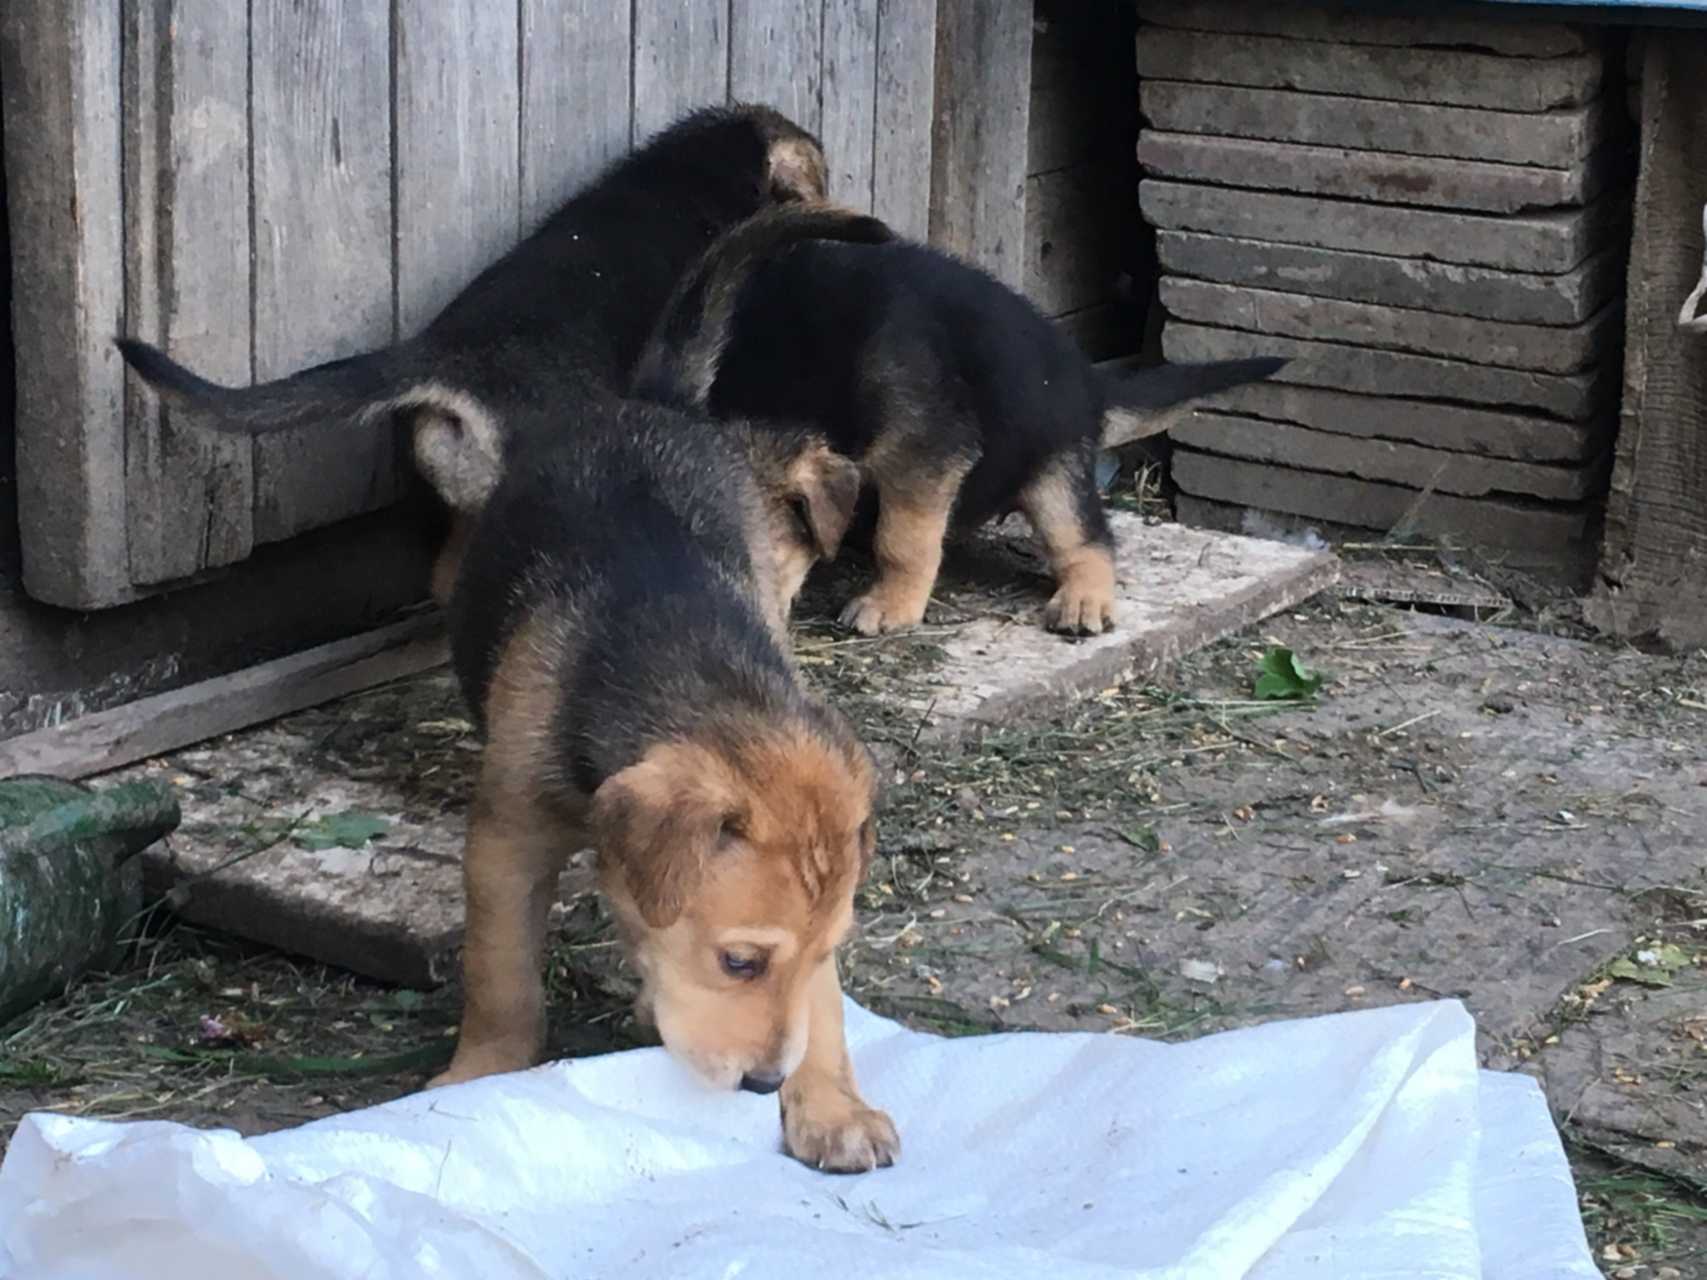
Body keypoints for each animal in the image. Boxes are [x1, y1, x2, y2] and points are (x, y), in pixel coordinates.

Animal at [635, 206, 1283, 641]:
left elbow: (904, 537)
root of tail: (1087, 379)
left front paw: (890, 604)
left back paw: (1084, 600)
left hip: (1053, 472)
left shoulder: (924, 449)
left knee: (1088, 538)